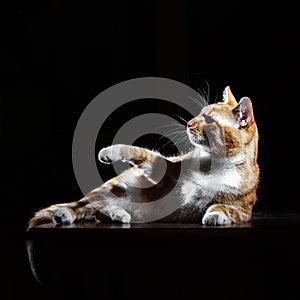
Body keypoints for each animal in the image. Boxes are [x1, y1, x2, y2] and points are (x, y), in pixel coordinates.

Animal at [27, 85, 258, 229]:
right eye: (200, 113)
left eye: (209, 120)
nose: (189, 123)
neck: (214, 163)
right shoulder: (165, 169)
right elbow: (140, 152)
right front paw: (110, 151)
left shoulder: (244, 209)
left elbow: (226, 208)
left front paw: (216, 215)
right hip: (113, 187)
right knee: (84, 205)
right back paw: (66, 214)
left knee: (98, 211)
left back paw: (117, 214)